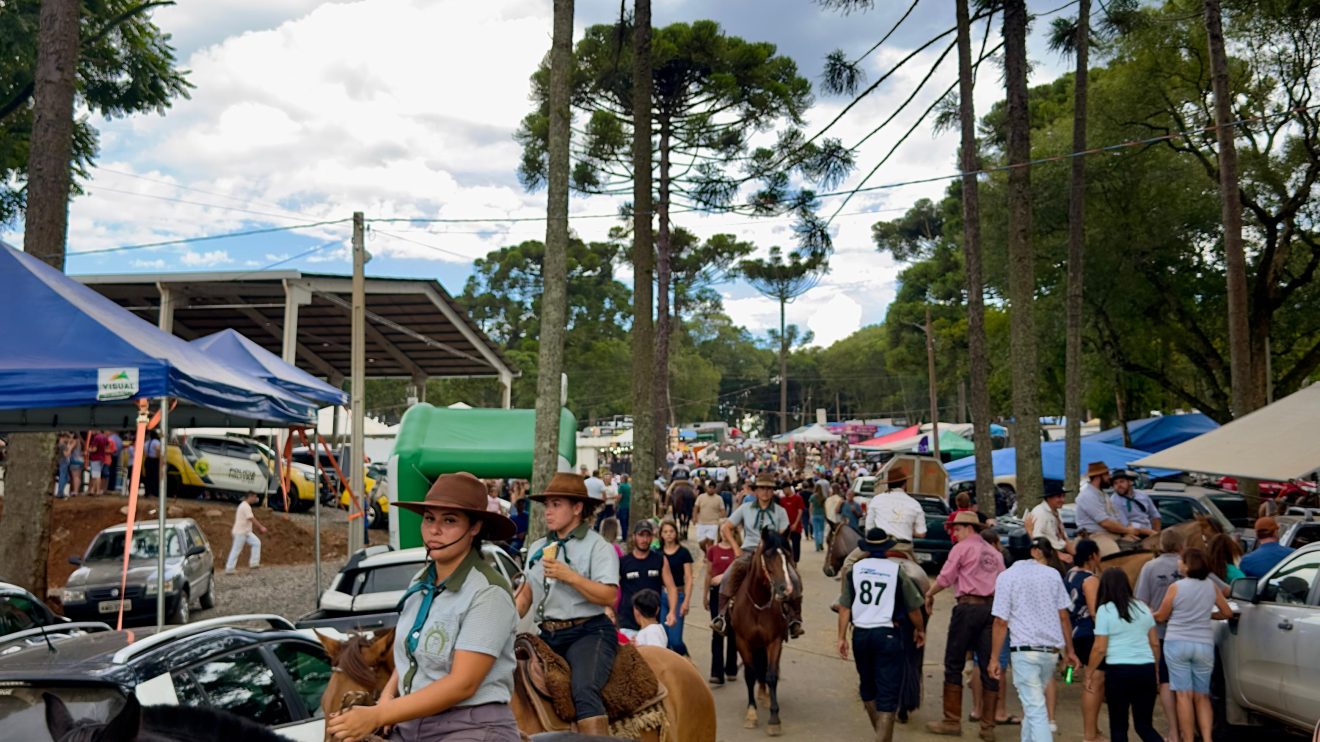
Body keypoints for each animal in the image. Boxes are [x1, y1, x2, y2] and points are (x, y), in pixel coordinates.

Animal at [733, 525, 792, 734]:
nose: (787, 589)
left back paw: (765, 696)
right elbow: (750, 674)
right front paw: (751, 714)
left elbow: (771, 674)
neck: (757, 603)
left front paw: (774, 718)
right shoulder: (742, 641)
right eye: (768, 556)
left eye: (787, 555)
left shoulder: (774, 641)